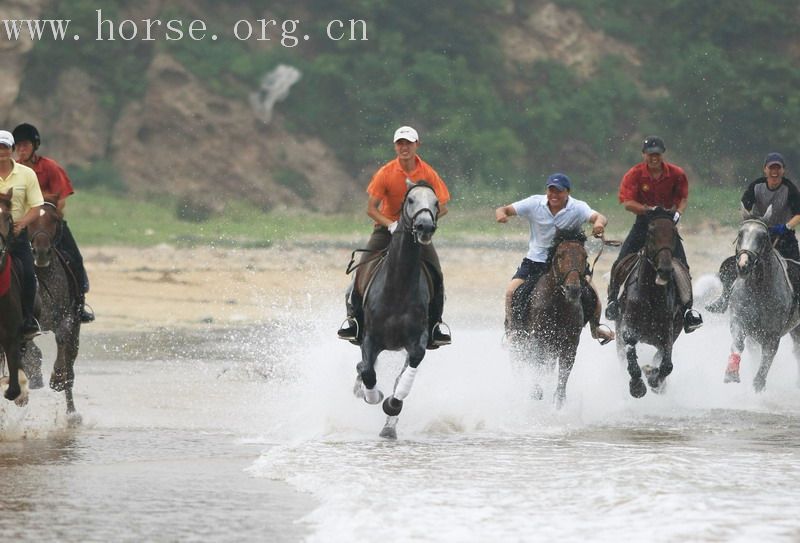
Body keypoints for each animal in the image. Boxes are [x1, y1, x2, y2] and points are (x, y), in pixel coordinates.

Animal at [24, 198, 82, 422]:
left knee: (71, 368)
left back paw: (72, 414)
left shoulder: (67, 316)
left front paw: (56, 378)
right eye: (29, 220)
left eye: (54, 220)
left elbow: (61, 338)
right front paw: (33, 371)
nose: (41, 252)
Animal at [354, 181, 440, 440]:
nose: (425, 227)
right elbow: (369, 372)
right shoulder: (370, 337)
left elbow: (406, 374)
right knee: (365, 368)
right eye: (410, 200)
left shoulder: (417, 340)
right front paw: (373, 395)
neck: (398, 286)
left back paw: (389, 427)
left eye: (436, 203)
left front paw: (393, 404)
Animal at [510, 228, 592, 408]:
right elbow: (537, 366)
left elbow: (563, 375)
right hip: (517, 340)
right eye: (560, 255)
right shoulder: (538, 340)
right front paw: (536, 394)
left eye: (585, 256)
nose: (573, 289)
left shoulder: (570, 344)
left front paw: (558, 402)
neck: (557, 305)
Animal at [612, 210, 688, 398]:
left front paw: (654, 379)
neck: (651, 293)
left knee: (659, 356)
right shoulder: (628, 326)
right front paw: (637, 386)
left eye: (674, 233)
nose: (665, 270)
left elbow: (667, 364)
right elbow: (630, 347)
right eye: (651, 233)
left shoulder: (668, 330)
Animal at [724, 209, 800, 392]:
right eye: (740, 233)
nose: (743, 265)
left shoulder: (772, 336)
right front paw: (731, 375)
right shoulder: (739, 321)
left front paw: (758, 390)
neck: (758, 289)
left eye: (763, 237)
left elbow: (764, 367)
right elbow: (738, 344)